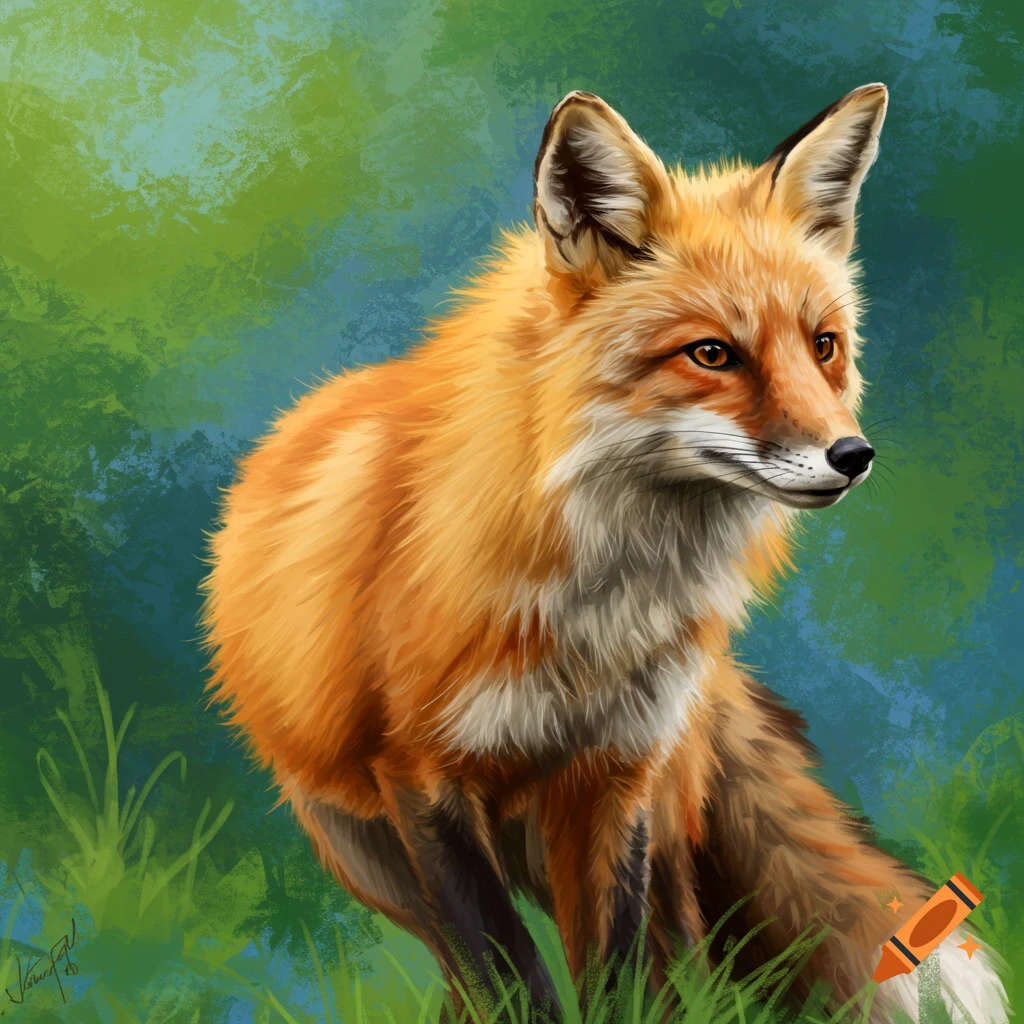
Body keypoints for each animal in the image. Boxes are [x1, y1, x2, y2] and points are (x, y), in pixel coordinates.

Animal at [200, 85, 1009, 1023]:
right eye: (712, 353)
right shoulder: (421, 780)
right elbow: (509, 974)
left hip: (658, 821)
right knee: (459, 969)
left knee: (683, 953)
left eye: (824, 345)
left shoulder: (616, 777)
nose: (853, 455)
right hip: (363, 848)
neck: (601, 612)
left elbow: (617, 977)